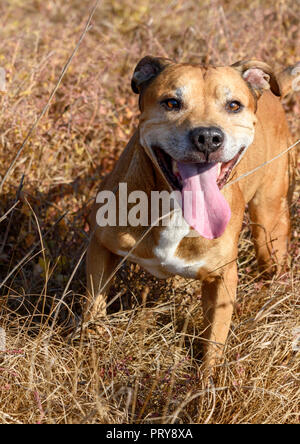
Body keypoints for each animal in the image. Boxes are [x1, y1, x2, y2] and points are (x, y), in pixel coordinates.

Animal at [85, 57, 298, 370]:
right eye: (172, 103)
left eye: (233, 105)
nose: (208, 137)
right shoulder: (101, 247)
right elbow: (93, 308)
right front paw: (90, 348)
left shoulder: (223, 280)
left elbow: (214, 344)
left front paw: (207, 381)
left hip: (269, 224)